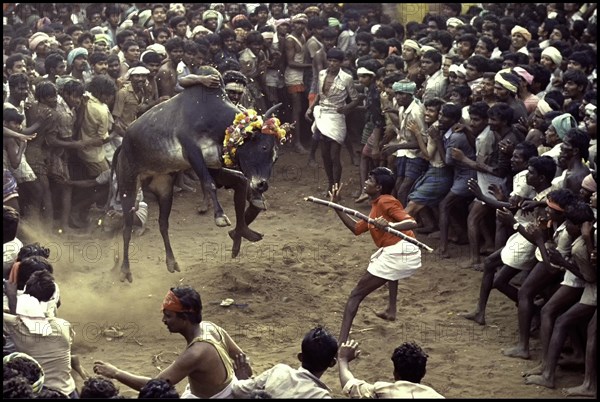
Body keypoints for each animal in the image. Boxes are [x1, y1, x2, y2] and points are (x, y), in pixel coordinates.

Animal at [116, 66, 290, 282]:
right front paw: (220, 216)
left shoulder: (215, 162)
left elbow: (238, 181)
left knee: (163, 223)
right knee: (127, 227)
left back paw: (173, 261)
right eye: (264, 147)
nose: (262, 184)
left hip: (164, 188)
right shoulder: (191, 151)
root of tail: (123, 146)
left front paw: (252, 204)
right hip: (128, 185)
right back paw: (125, 270)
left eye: (276, 157)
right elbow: (209, 183)